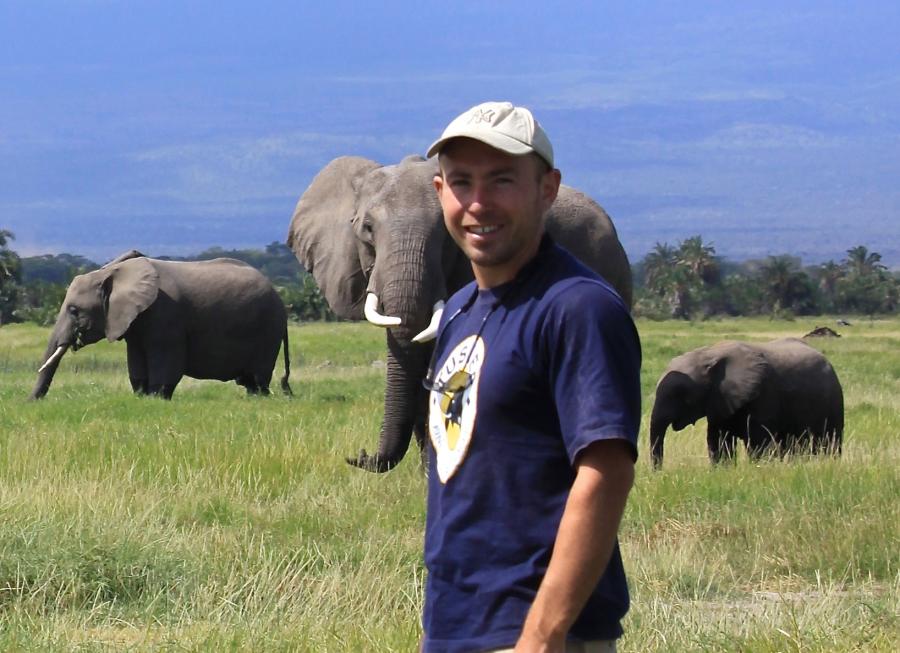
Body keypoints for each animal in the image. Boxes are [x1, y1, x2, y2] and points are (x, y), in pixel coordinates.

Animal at [30, 252, 292, 400]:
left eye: (74, 310)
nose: (32, 402)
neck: (115, 274)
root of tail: (279, 297)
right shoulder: (135, 322)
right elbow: (136, 360)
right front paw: (141, 397)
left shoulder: (165, 314)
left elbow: (165, 360)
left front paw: (156, 398)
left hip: (268, 328)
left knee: (258, 378)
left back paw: (259, 398)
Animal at [652, 338, 840, 466]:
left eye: (679, 394)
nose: (659, 473)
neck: (709, 355)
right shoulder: (720, 399)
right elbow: (718, 440)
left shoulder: (763, 395)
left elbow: (758, 441)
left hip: (833, 401)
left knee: (830, 441)